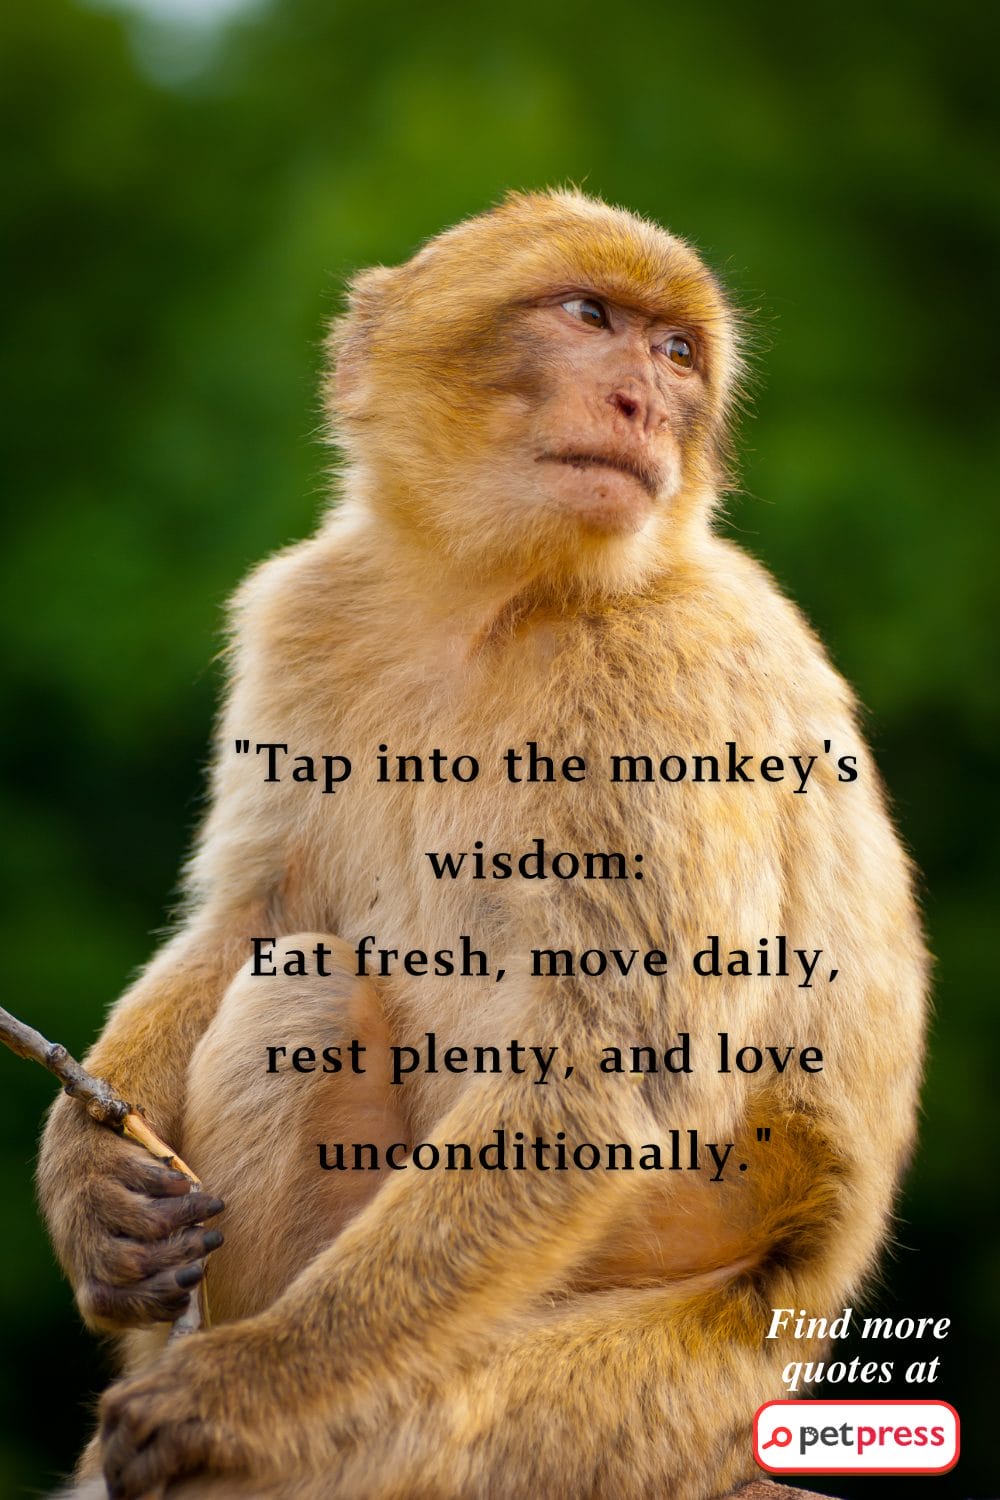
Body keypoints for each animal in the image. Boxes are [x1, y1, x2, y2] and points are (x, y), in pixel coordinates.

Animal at [37, 189, 927, 1500]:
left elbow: (613, 1070)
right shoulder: (310, 608)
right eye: (589, 316)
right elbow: (246, 917)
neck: (495, 602)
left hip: (636, 1393)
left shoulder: (671, 680)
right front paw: (88, 1185)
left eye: (675, 353)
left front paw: (248, 1388)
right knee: (298, 979)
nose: (643, 401)